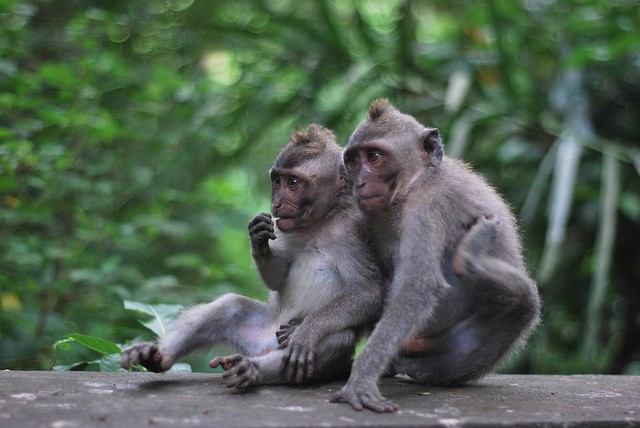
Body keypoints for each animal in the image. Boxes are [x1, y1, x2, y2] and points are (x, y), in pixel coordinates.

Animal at [120, 123, 382, 392]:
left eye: (293, 183)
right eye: (277, 181)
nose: (277, 203)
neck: (320, 222)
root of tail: (263, 348)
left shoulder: (352, 231)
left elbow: (367, 292)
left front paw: (304, 331)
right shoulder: (284, 228)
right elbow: (278, 278)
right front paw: (258, 240)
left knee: (338, 337)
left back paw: (253, 370)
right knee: (230, 307)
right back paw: (157, 356)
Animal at [332, 99, 544, 412]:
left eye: (374, 156)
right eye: (354, 161)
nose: (359, 183)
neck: (414, 183)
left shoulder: (429, 204)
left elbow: (418, 286)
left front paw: (361, 379)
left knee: (525, 303)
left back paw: (472, 259)